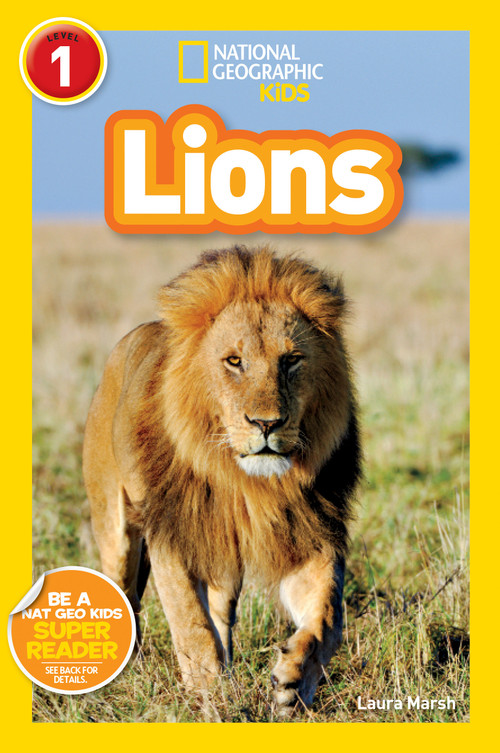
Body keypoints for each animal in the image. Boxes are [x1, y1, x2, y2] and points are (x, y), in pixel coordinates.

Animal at [83, 246, 361, 716]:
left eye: (291, 360)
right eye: (234, 361)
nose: (266, 424)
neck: (246, 484)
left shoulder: (309, 534)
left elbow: (328, 618)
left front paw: (293, 683)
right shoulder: (172, 537)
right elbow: (191, 626)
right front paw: (212, 700)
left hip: (224, 563)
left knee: (220, 613)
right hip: (115, 528)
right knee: (124, 589)